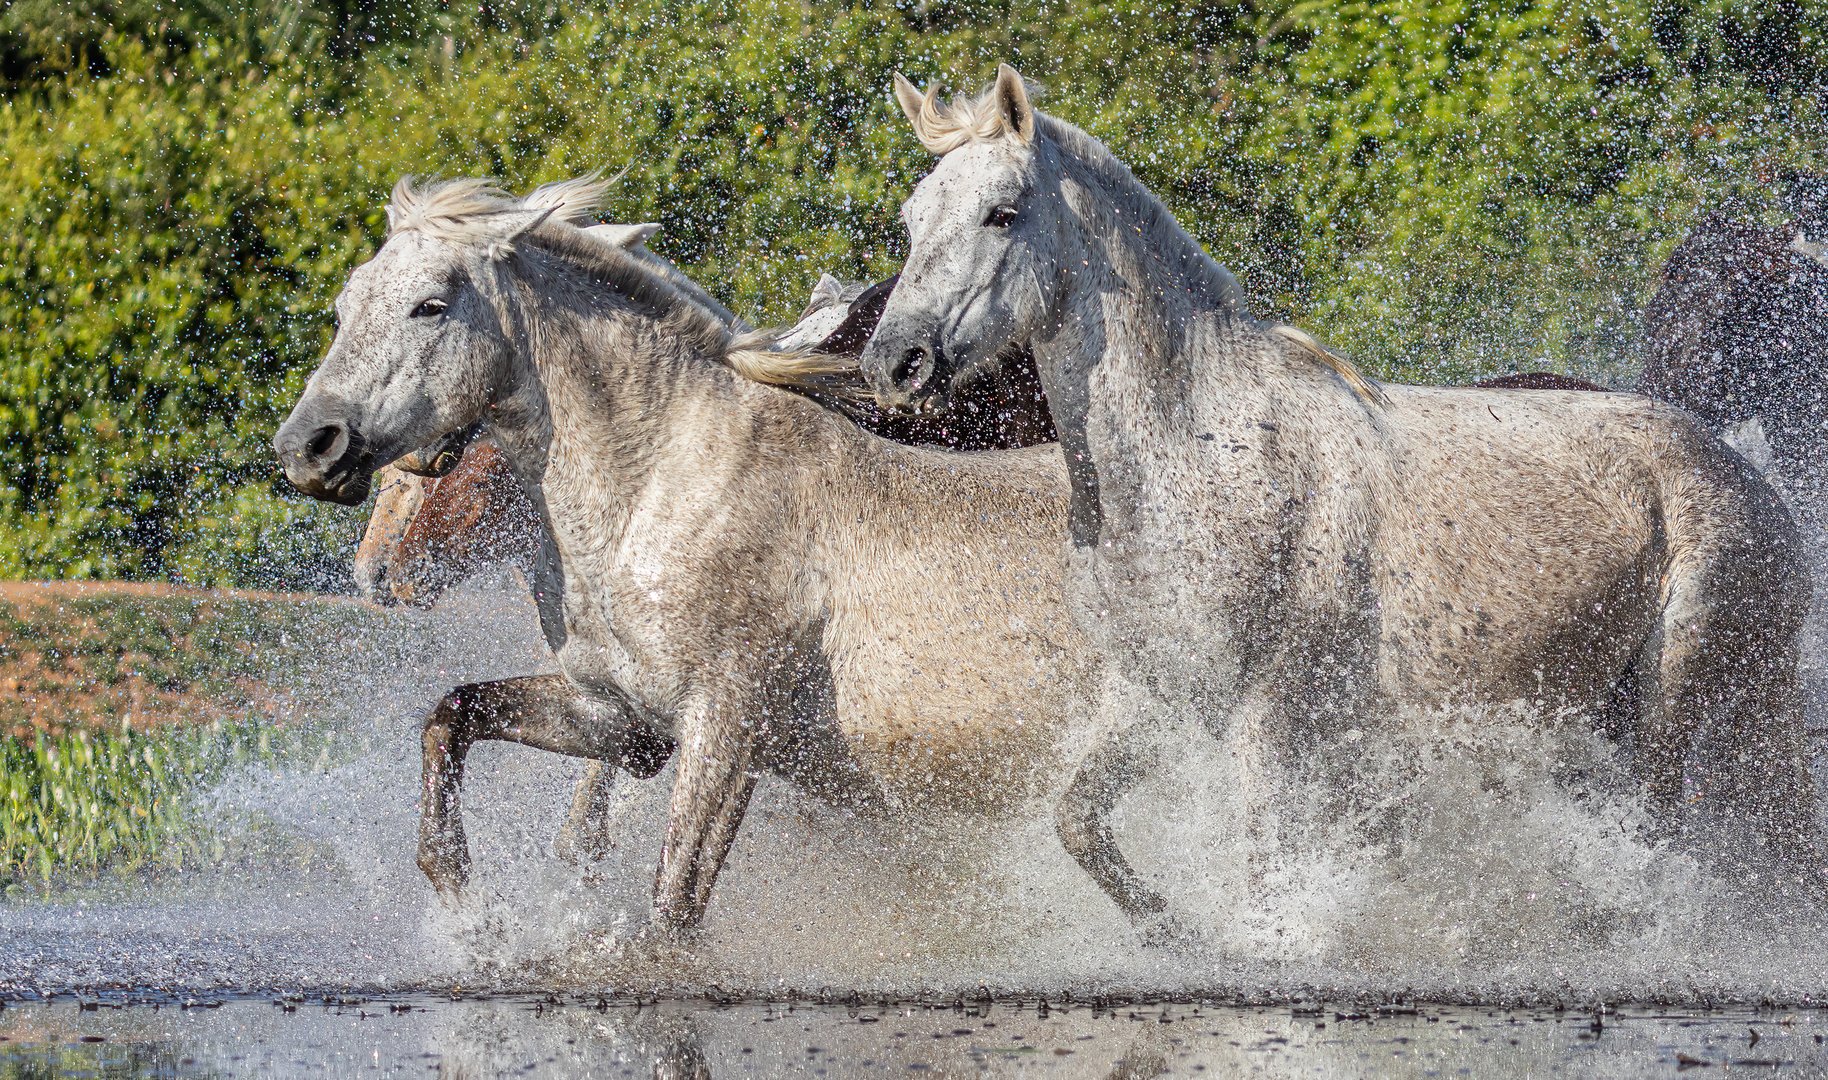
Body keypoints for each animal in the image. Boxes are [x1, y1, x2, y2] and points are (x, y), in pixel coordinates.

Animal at [859, 65, 1828, 928]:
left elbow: (1268, 893)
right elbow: (1079, 823)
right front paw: (1172, 933)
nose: (892, 364)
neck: (1195, 452)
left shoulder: (1272, 730)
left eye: (1002, 213)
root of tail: (1753, 482)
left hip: (1676, 710)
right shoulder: (1155, 696)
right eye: (913, 218)